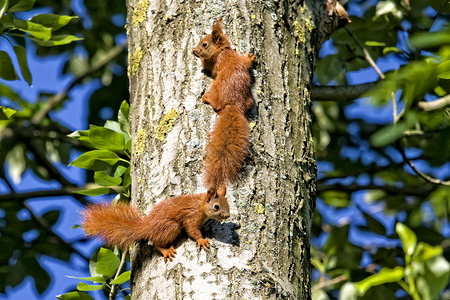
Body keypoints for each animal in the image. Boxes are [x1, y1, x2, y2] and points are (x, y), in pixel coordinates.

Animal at [81, 188, 230, 262]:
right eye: (216, 206)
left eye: (228, 203)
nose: (227, 215)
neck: (199, 205)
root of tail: (147, 227)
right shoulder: (191, 217)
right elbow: (192, 230)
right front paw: (201, 240)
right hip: (171, 227)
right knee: (156, 242)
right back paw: (166, 251)